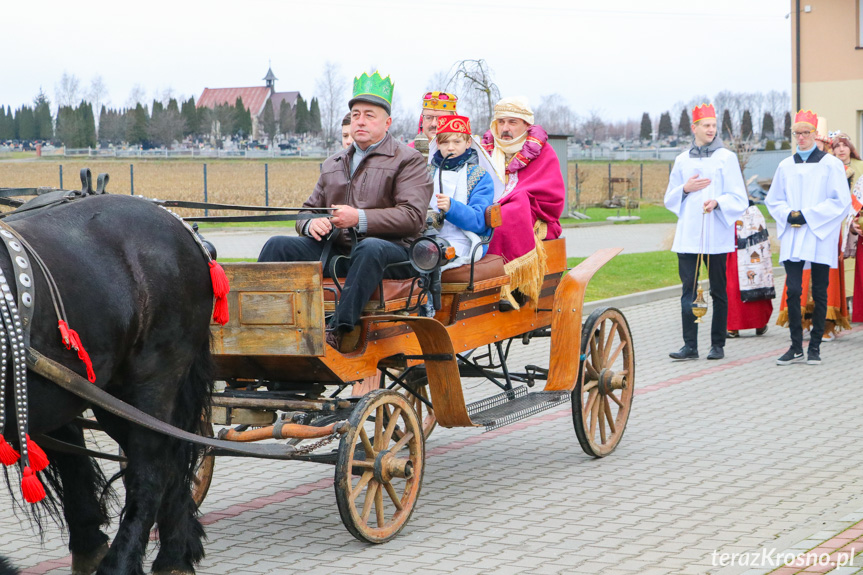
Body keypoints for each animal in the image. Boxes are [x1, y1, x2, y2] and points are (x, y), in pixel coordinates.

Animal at [0, 195, 216, 575]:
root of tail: (179, 225)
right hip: (110, 397)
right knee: (167, 461)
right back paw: (173, 556)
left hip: (151, 383)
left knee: (150, 470)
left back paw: (122, 562)